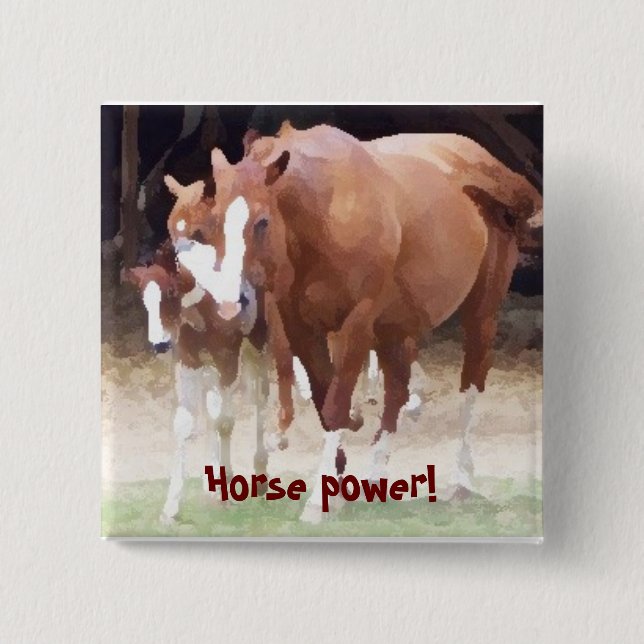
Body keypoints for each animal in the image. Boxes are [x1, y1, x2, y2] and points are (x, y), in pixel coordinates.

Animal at [177, 122, 542, 523]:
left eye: (261, 222)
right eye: (209, 226)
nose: (230, 304)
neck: (322, 217)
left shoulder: (355, 325)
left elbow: (336, 405)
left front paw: (319, 500)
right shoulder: (300, 329)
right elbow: (325, 401)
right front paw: (335, 486)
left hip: (481, 312)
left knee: (471, 383)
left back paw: (460, 480)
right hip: (395, 328)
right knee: (397, 392)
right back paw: (377, 476)